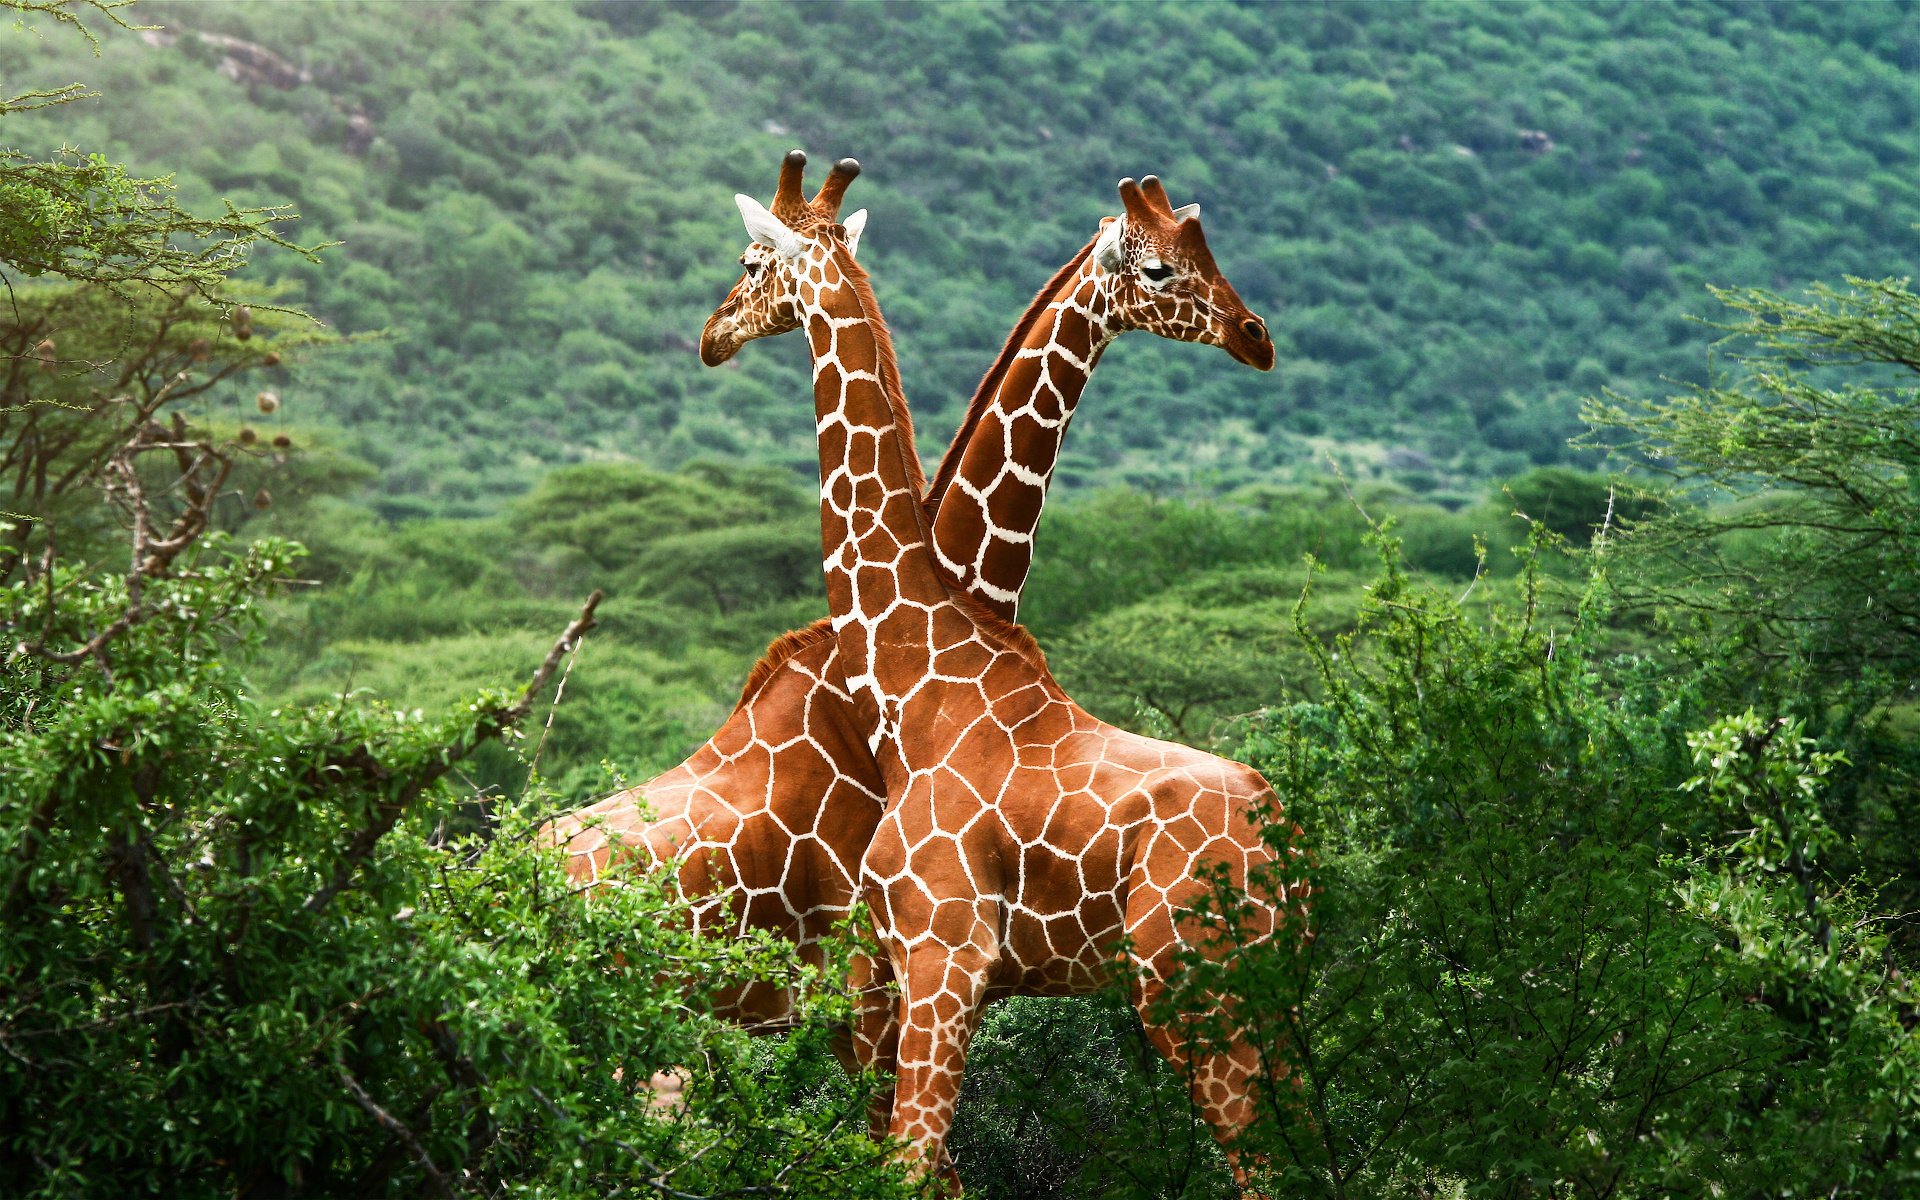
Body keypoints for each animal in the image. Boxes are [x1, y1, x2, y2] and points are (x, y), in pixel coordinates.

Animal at [702, 151, 1305, 1190]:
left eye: (749, 261)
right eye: (1162, 267)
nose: (1256, 337)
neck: (918, 676)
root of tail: (1289, 849)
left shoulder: (941, 956)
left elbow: (910, 1168)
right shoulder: (908, 972)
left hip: (1195, 992)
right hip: (1274, 998)